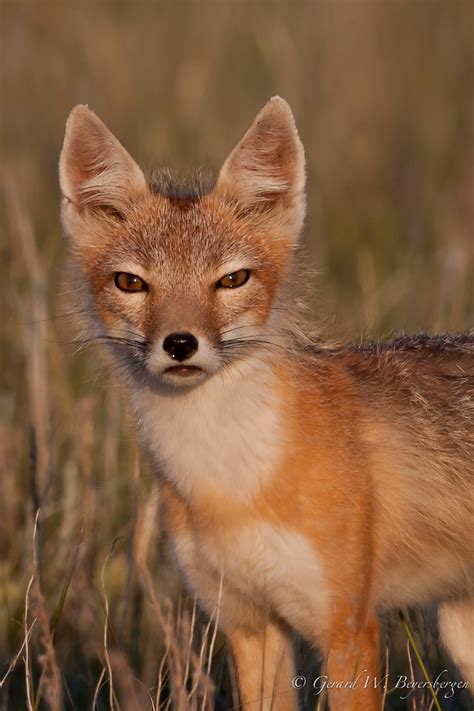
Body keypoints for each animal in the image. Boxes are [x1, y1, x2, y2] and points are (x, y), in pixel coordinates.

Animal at [60, 97, 474, 708]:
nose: (179, 344)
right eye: (130, 283)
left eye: (232, 279)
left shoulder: (349, 630)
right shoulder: (249, 625)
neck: (228, 484)